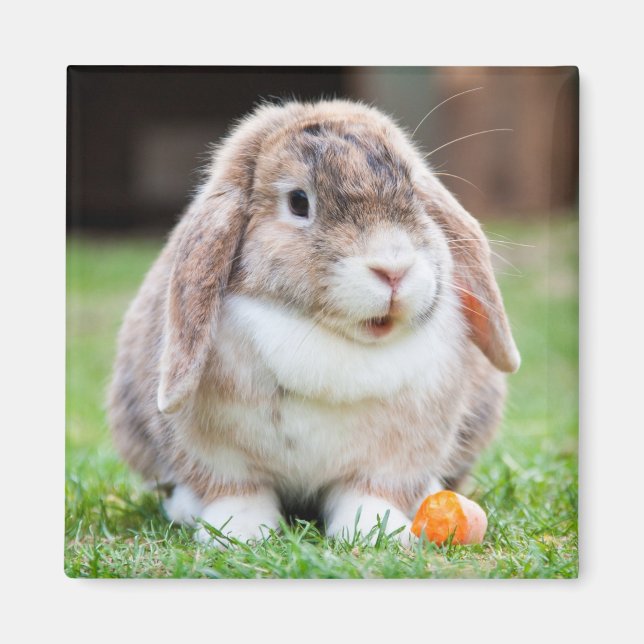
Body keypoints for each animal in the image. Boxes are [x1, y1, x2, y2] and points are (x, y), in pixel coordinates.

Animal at [108, 98, 520, 547]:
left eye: (413, 191)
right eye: (298, 202)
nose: (393, 269)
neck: (329, 337)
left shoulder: (393, 459)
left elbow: (369, 493)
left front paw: (376, 533)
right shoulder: (219, 456)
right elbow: (237, 492)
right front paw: (239, 533)